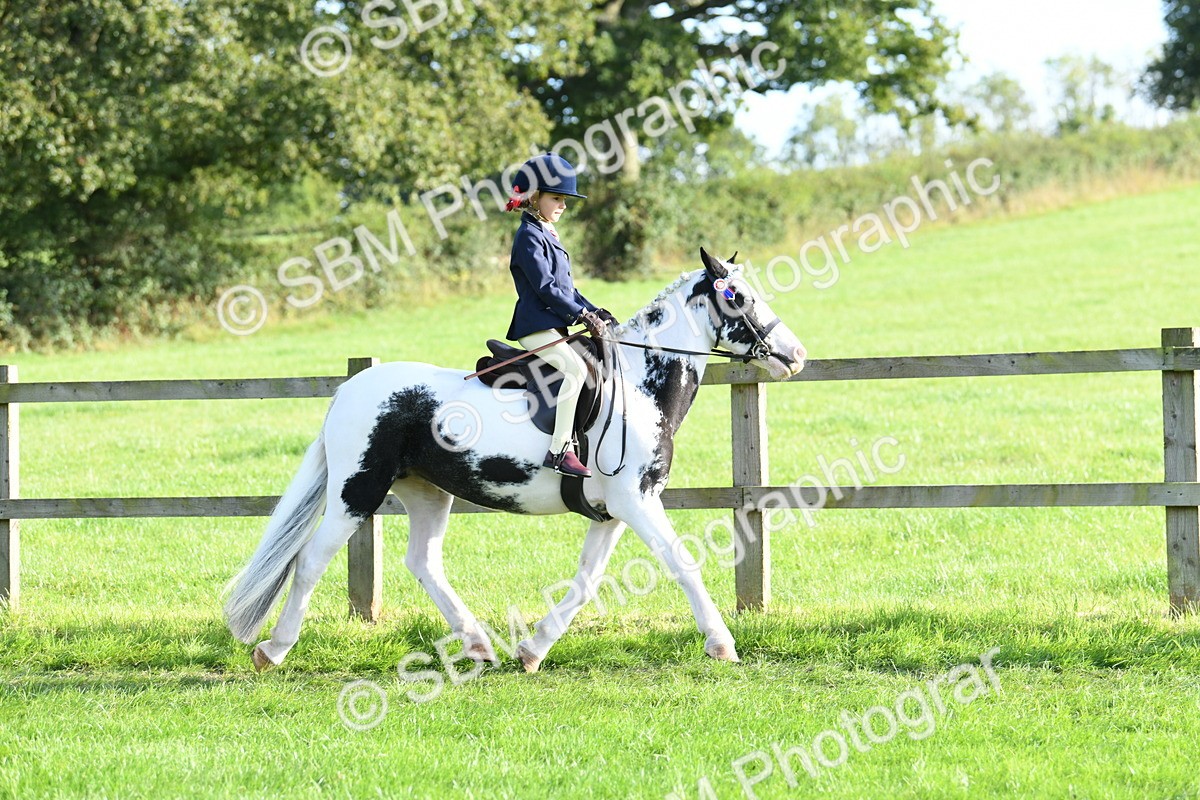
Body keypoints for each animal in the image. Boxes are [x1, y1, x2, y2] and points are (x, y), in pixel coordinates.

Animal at [224, 248, 807, 672]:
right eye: (740, 297)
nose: (796, 356)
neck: (639, 387)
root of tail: (349, 389)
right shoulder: (636, 502)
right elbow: (681, 563)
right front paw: (722, 644)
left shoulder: (614, 511)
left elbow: (586, 581)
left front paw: (532, 651)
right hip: (357, 490)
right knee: (310, 561)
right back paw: (272, 650)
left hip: (426, 492)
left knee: (423, 562)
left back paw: (479, 645)